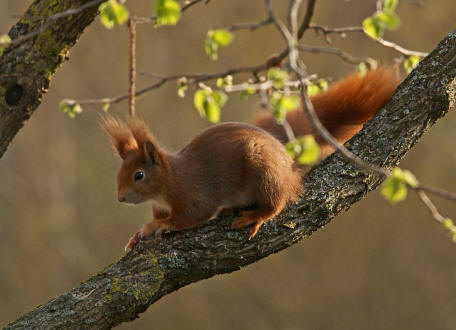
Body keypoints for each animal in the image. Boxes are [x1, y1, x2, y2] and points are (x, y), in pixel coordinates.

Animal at [102, 66, 400, 250]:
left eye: (139, 175)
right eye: (119, 173)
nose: (120, 197)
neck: (166, 183)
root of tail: (287, 164)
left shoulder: (193, 193)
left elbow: (192, 215)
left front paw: (158, 226)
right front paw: (137, 235)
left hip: (264, 173)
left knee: (276, 202)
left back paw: (256, 216)